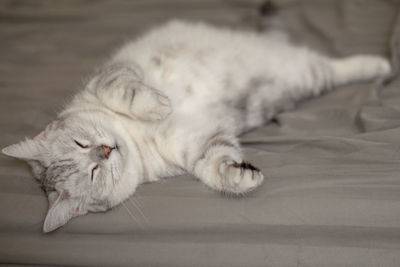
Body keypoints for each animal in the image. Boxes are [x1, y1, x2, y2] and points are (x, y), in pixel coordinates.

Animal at [1, 19, 390, 232]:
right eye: (94, 172)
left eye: (82, 145)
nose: (106, 150)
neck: (134, 137)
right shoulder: (198, 143)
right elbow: (216, 167)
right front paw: (242, 178)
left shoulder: (110, 77)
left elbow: (128, 91)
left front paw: (160, 104)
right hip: (305, 77)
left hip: (304, 71)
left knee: (339, 64)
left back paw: (382, 64)